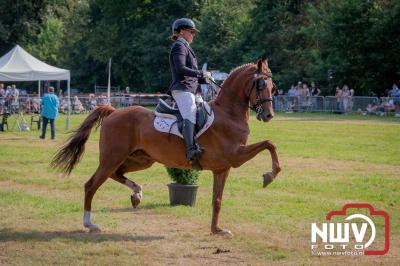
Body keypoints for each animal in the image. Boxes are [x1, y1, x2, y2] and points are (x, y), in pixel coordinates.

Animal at [50, 59, 282, 236]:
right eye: (261, 85)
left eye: (273, 88)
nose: (269, 115)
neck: (228, 113)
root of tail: (114, 111)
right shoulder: (235, 156)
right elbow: (269, 144)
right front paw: (269, 176)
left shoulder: (222, 168)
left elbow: (217, 200)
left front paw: (216, 230)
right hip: (111, 158)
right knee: (91, 185)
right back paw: (90, 224)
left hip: (140, 159)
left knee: (117, 174)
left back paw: (137, 194)